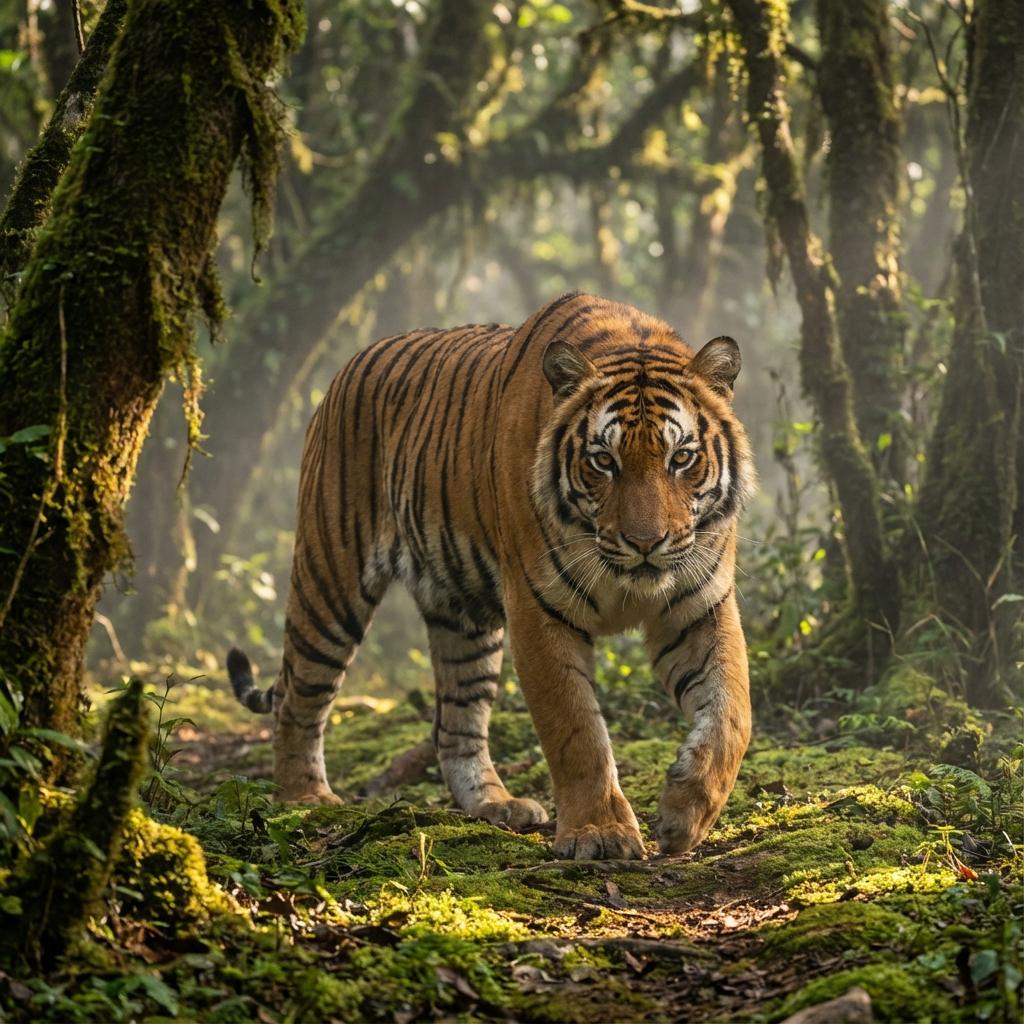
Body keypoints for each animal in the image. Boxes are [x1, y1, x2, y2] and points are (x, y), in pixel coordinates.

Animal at [227, 292, 756, 860]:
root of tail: (350, 364)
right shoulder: (538, 608)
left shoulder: (698, 606)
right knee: (298, 697)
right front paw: (599, 833)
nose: (645, 543)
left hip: (464, 621)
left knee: (455, 726)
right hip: (330, 581)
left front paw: (685, 812)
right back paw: (305, 797)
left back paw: (494, 804)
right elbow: (576, 730)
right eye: (602, 460)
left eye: (682, 457)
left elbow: (732, 713)